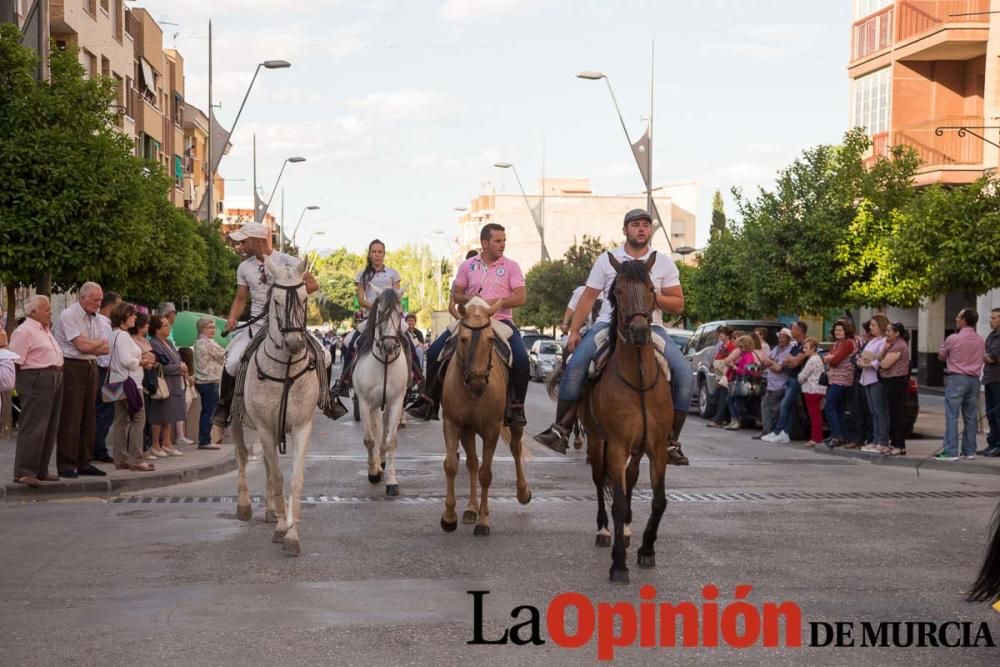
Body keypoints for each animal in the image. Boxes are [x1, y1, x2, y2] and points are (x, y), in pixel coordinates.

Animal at [232, 258, 318, 556]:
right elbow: (279, 477)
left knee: (268, 467)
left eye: (304, 298)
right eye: (277, 301)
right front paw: (283, 528)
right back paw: (245, 505)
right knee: (243, 457)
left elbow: (294, 479)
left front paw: (292, 532)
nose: (294, 343)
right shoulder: (265, 427)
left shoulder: (302, 427)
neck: (285, 369)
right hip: (238, 423)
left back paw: (271, 511)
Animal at [352, 288, 410, 496]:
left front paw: (391, 482)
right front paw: (373, 473)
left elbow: (391, 440)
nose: (389, 346)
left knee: (383, 430)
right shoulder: (364, 403)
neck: (384, 361)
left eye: (400, 313)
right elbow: (370, 440)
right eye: (381, 313)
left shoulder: (396, 402)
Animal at [438, 298, 532, 536]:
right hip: (468, 431)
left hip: (514, 423)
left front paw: (484, 521)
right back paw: (471, 509)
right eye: (463, 339)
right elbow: (452, 465)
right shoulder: (454, 424)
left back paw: (523, 492)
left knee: (515, 448)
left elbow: (486, 474)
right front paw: (449, 517)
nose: (477, 382)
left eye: (490, 339)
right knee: (472, 463)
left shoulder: (491, 430)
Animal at [576, 256, 676, 584]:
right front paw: (618, 563)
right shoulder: (617, 446)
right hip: (598, 441)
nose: (640, 331)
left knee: (630, 480)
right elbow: (617, 503)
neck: (639, 380)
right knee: (599, 481)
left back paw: (631, 531)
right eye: (617, 291)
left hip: (637, 448)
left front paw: (646, 549)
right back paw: (604, 530)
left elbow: (659, 500)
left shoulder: (657, 448)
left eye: (651, 288)